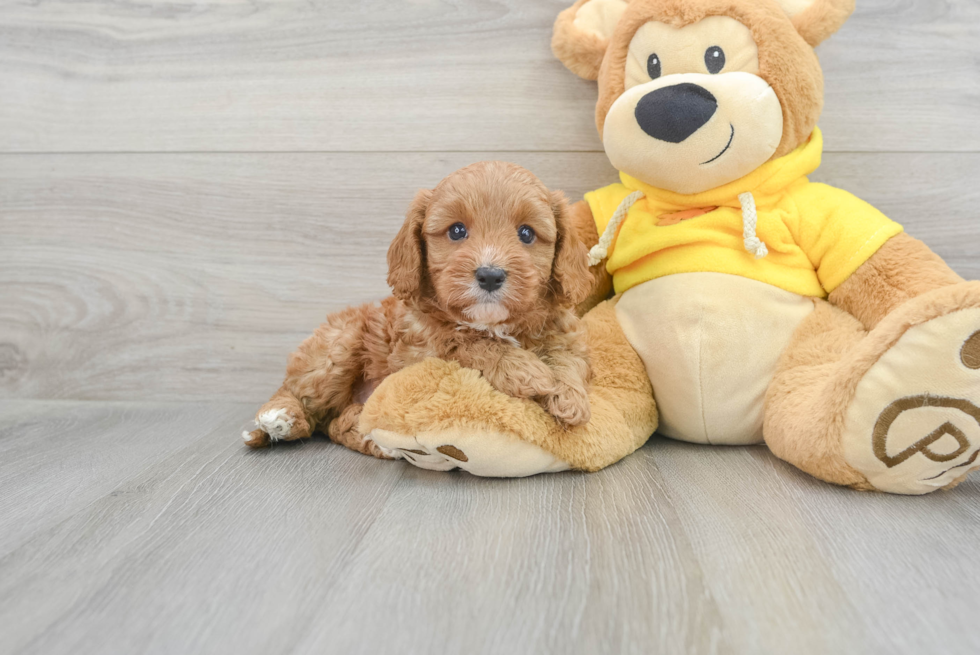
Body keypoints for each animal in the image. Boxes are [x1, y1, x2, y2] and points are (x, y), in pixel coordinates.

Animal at [245, 160, 596, 456]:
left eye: (526, 233)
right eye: (457, 230)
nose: (490, 275)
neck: (493, 324)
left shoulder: (564, 333)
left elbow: (567, 358)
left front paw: (570, 396)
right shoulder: (418, 353)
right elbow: (463, 343)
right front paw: (524, 370)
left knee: (336, 423)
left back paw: (375, 439)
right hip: (336, 347)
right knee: (300, 395)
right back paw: (279, 418)